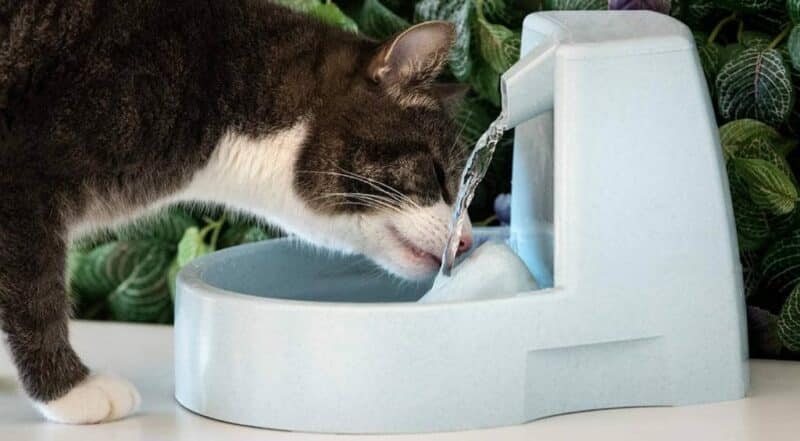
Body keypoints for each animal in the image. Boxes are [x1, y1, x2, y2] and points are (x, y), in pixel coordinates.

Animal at [0, 0, 476, 422]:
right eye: (438, 175)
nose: (468, 240)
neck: (215, 78)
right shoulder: (23, 177)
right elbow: (36, 294)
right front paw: (70, 393)